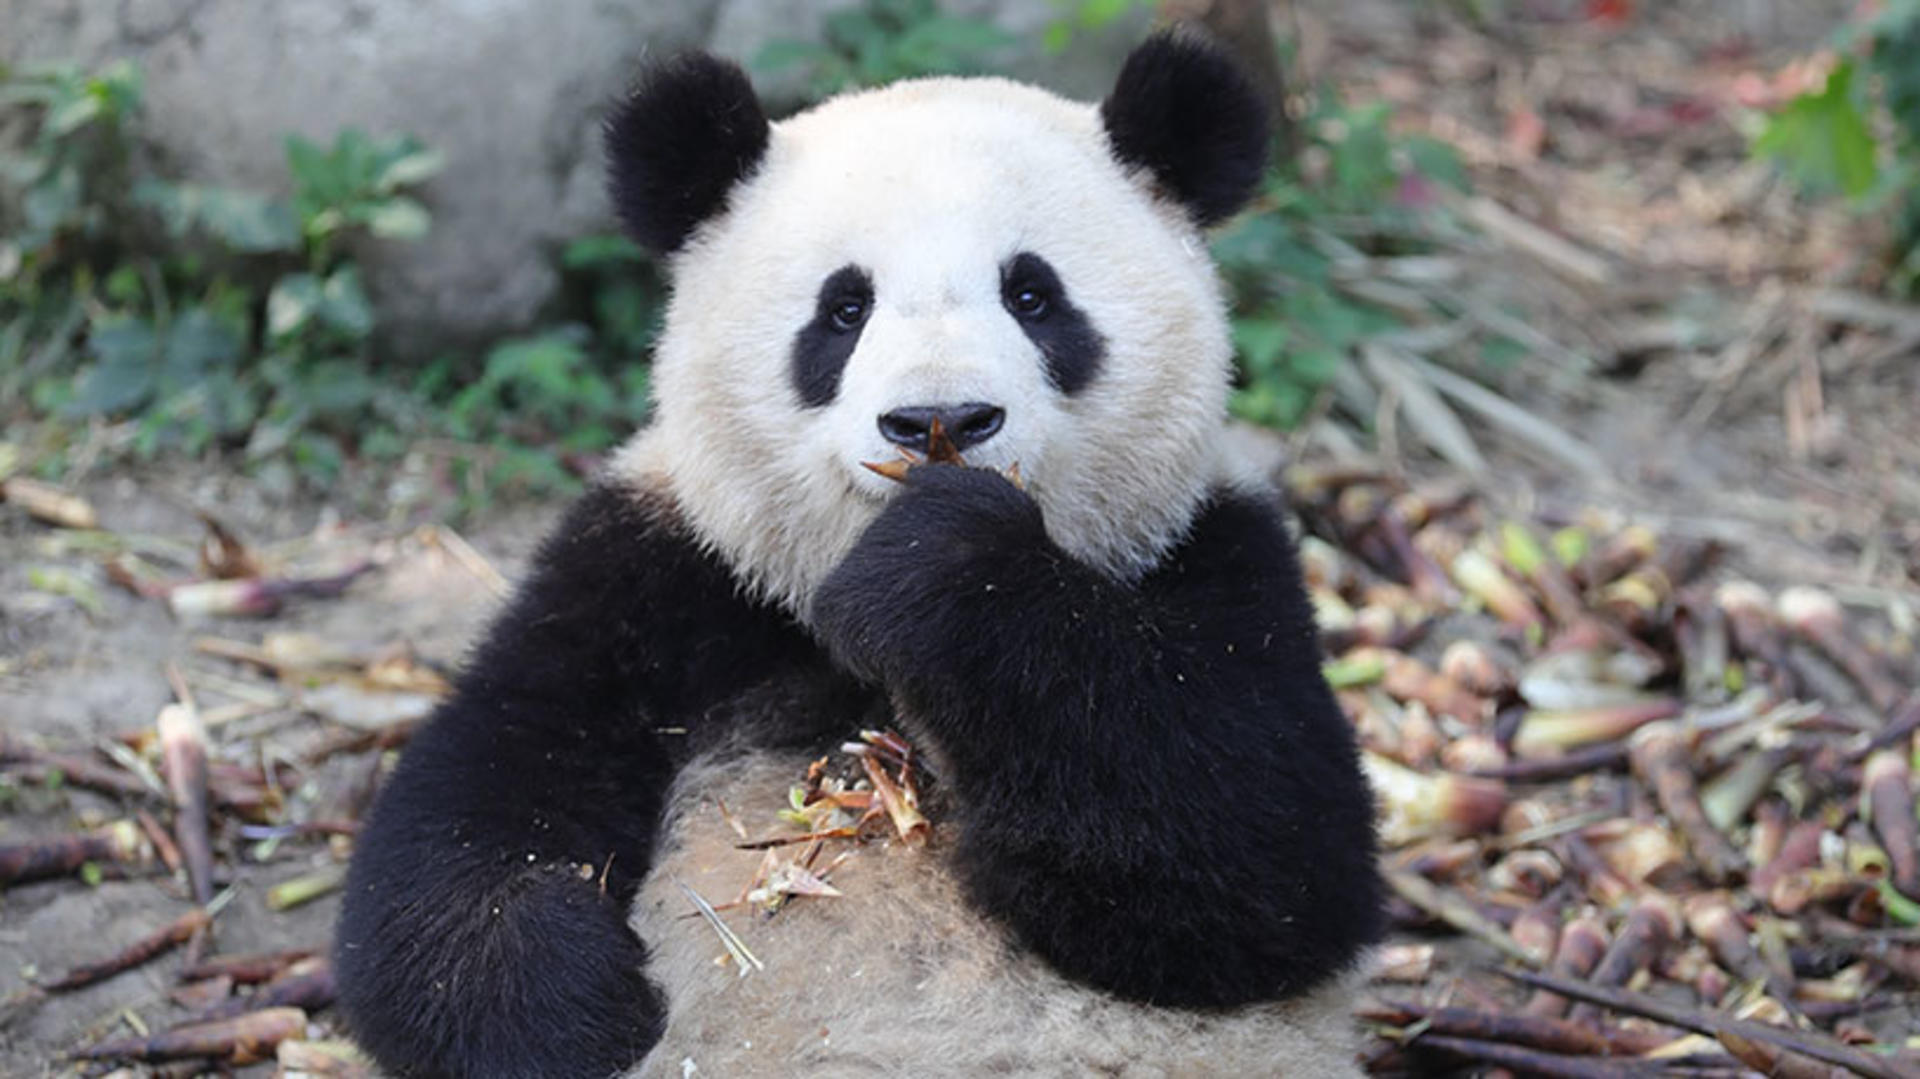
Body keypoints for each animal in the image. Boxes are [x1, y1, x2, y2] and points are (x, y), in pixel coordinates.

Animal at [334, 31, 1383, 1078]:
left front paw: (942, 566)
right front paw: (577, 1010)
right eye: (843, 310)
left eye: (1033, 295)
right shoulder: (663, 578)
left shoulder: (1212, 551)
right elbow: (474, 807)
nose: (939, 420)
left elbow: (1265, 851)